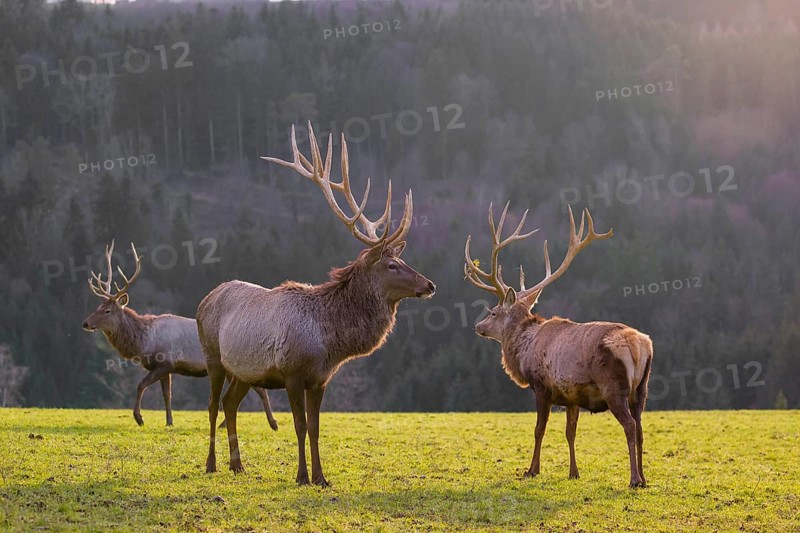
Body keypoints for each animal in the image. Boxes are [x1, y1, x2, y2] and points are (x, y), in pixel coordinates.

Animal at [82, 241, 279, 431]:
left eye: (107, 310)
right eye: (97, 307)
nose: (85, 323)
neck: (144, 342)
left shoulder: (165, 363)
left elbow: (141, 385)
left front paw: (139, 418)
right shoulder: (166, 368)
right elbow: (167, 395)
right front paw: (169, 421)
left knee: (259, 390)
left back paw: (272, 423)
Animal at [196, 123, 436, 486]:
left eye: (403, 260)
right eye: (392, 265)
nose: (430, 285)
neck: (328, 342)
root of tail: (204, 299)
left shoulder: (320, 379)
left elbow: (315, 428)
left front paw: (321, 477)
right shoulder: (292, 373)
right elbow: (298, 426)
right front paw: (301, 476)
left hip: (245, 371)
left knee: (229, 403)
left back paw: (238, 465)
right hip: (213, 358)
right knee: (212, 405)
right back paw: (211, 464)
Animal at [464, 203, 653, 488]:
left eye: (493, 312)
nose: (478, 327)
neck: (523, 351)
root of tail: (639, 346)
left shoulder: (542, 386)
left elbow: (539, 429)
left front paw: (531, 470)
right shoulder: (572, 395)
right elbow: (570, 432)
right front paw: (574, 472)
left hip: (614, 387)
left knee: (630, 426)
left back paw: (633, 479)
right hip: (641, 388)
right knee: (641, 427)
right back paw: (643, 478)